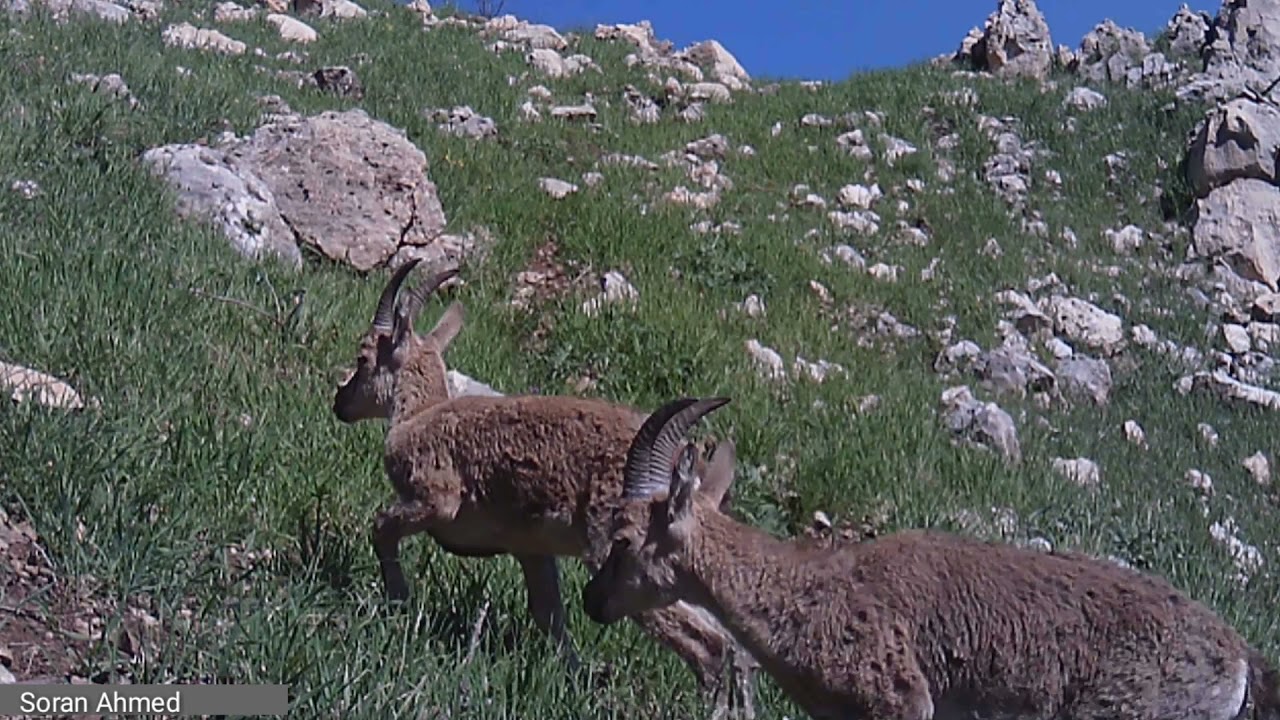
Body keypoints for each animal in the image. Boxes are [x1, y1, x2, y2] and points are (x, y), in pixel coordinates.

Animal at [331, 260, 757, 719]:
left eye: (363, 356)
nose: (340, 403)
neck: (418, 414)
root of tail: (694, 482)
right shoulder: (531, 549)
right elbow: (550, 614)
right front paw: (575, 680)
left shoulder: (434, 498)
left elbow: (382, 528)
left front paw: (398, 601)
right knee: (735, 643)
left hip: (628, 562)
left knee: (710, 645)